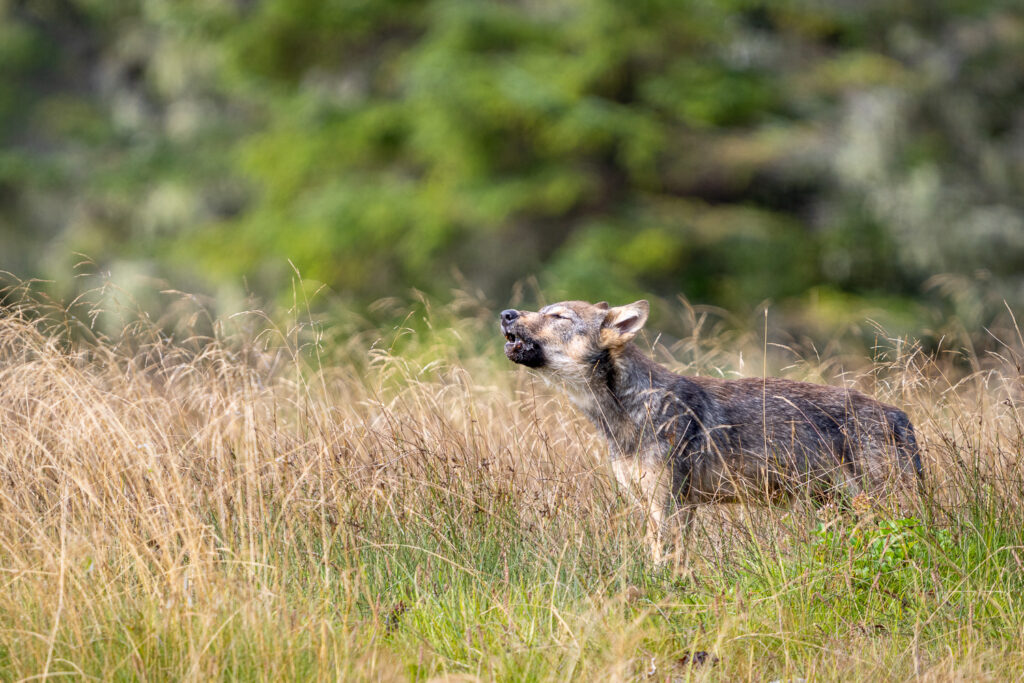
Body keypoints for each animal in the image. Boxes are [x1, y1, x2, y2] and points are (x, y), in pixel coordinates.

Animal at [500, 299, 922, 559]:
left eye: (558, 316)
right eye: (541, 311)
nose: (506, 314)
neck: (627, 414)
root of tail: (900, 416)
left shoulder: (670, 505)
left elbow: (664, 561)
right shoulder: (659, 505)